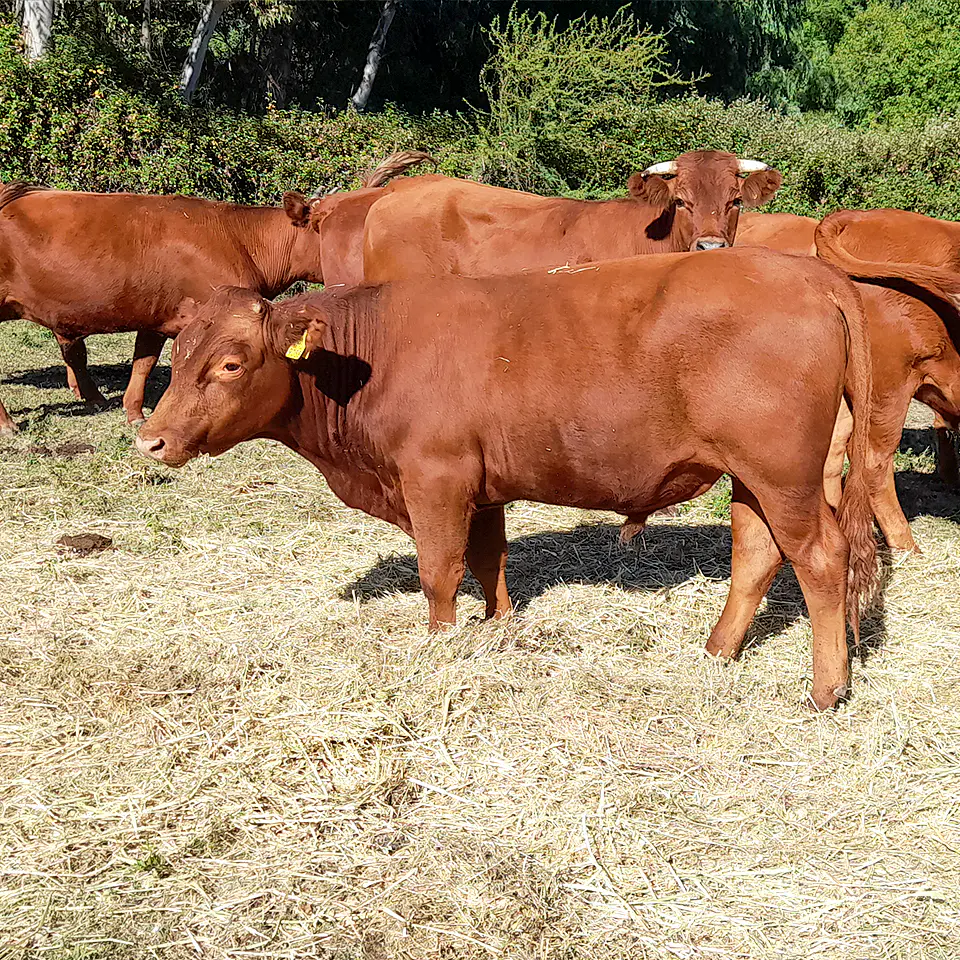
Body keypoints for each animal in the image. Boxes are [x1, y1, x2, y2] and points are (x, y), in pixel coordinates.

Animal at [135, 248, 878, 710]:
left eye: (231, 364)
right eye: (179, 349)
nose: (150, 439)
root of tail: (809, 273)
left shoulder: (434, 480)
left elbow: (438, 569)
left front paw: (440, 645)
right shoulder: (482, 486)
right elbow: (489, 557)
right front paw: (498, 627)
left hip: (783, 474)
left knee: (820, 558)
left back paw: (825, 689)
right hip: (753, 476)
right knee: (756, 552)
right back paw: (718, 651)